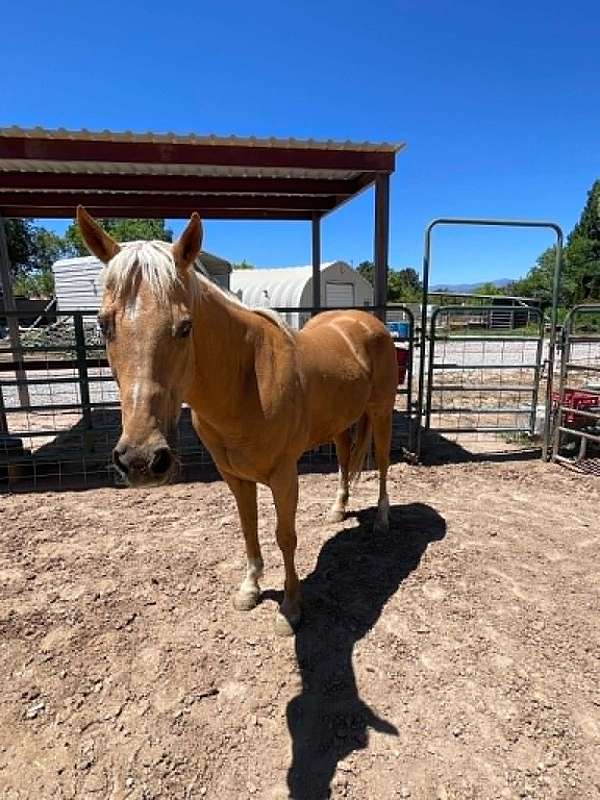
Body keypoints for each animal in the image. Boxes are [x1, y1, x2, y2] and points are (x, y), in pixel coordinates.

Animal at [77, 206, 398, 635]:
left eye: (185, 326)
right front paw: (250, 589)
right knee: (347, 458)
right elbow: (248, 528)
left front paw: (290, 609)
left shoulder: (283, 476)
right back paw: (338, 509)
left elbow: (285, 535)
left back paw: (382, 519)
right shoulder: (234, 476)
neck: (248, 381)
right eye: (103, 324)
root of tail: (367, 323)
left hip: (380, 413)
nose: (142, 461)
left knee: (382, 464)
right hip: (340, 424)